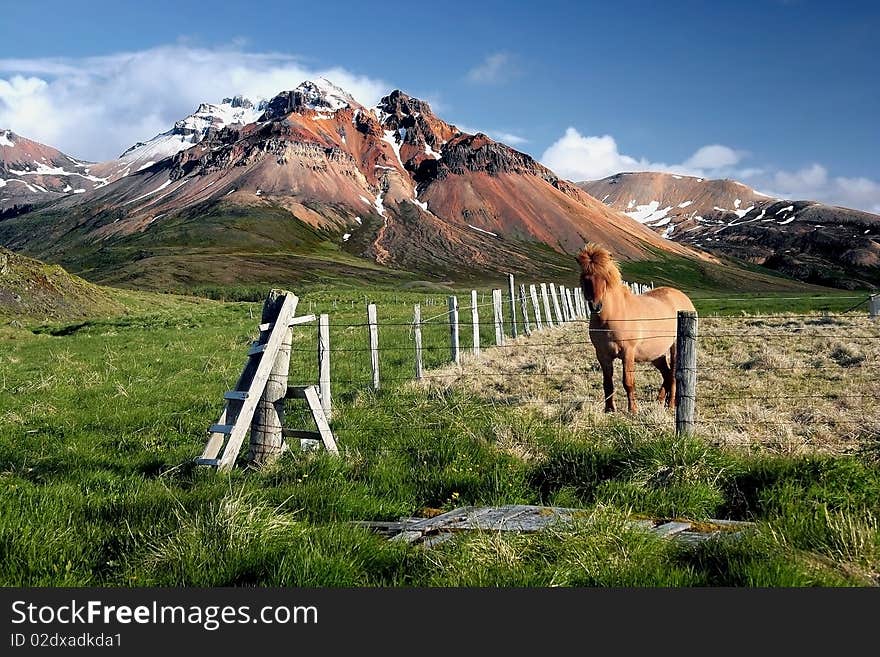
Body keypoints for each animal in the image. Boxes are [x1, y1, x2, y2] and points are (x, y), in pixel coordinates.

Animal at [576, 243, 696, 412]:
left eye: (605, 278)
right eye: (586, 279)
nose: (596, 306)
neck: (612, 317)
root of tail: (684, 298)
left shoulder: (628, 353)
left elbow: (628, 382)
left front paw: (632, 410)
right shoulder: (602, 354)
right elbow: (607, 383)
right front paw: (609, 410)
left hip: (675, 347)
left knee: (673, 374)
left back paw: (671, 405)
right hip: (655, 354)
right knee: (666, 374)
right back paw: (660, 401)